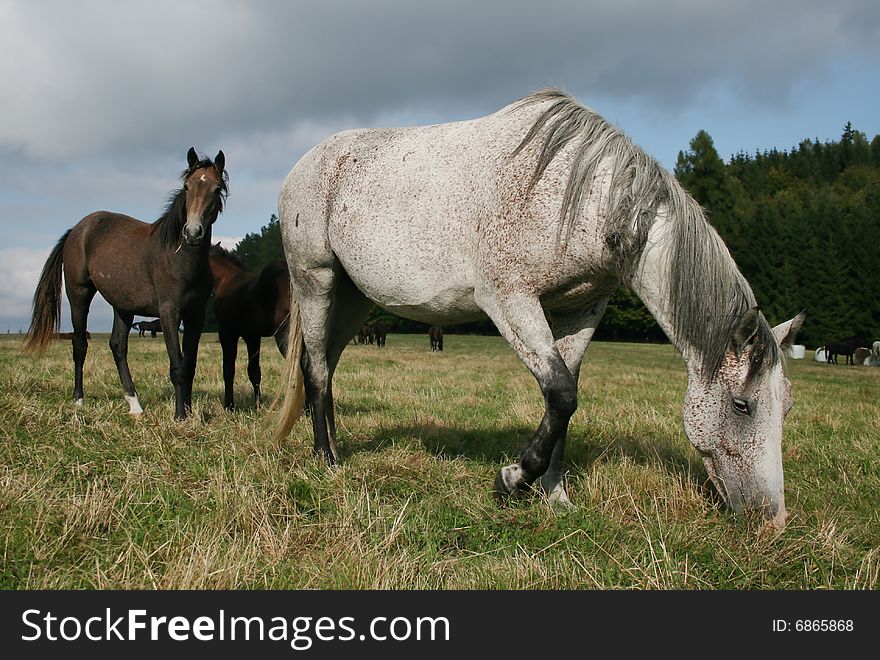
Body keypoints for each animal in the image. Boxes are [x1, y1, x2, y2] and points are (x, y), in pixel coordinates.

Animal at [24, 148, 227, 420]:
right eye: (186, 187)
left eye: (216, 189)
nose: (193, 232)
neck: (179, 257)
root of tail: (77, 229)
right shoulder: (169, 312)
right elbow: (177, 365)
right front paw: (180, 417)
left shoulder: (195, 314)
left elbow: (190, 365)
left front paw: (190, 411)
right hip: (79, 295)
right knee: (79, 345)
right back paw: (79, 400)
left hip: (123, 307)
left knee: (118, 346)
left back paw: (134, 405)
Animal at [208, 242, 290, 408]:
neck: (226, 278)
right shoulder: (252, 336)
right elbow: (254, 371)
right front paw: (258, 405)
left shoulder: (227, 333)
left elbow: (228, 369)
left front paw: (229, 405)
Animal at [276, 90, 804, 528]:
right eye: (742, 404)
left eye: (787, 406)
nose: (772, 520)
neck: (582, 197)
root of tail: (305, 164)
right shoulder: (509, 300)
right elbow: (562, 393)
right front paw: (512, 480)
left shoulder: (581, 310)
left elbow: (565, 399)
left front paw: (556, 495)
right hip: (316, 281)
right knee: (315, 367)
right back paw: (327, 460)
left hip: (354, 300)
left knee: (327, 365)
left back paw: (336, 443)